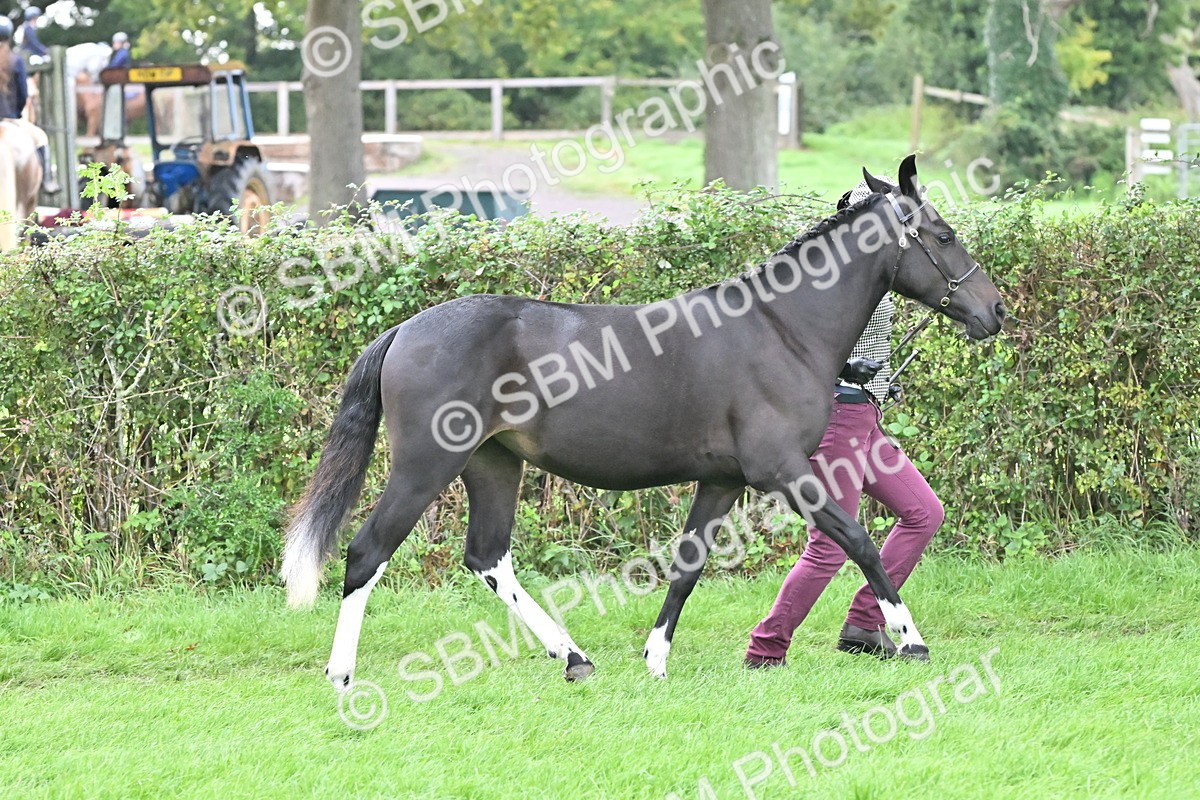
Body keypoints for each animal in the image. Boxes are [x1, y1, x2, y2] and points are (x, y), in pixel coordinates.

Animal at [282, 155, 1007, 692]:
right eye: (943, 235)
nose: (994, 310)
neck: (780, 328)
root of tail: (405, 330)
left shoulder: (723, 481)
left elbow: (687, 565)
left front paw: (656, 657)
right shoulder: (783, 471)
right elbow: (859, 540)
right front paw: (910, 638)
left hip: (493, 464)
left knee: (487, 558)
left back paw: (573, 657)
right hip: (425, 464)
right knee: (367, 551)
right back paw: (342, 675)